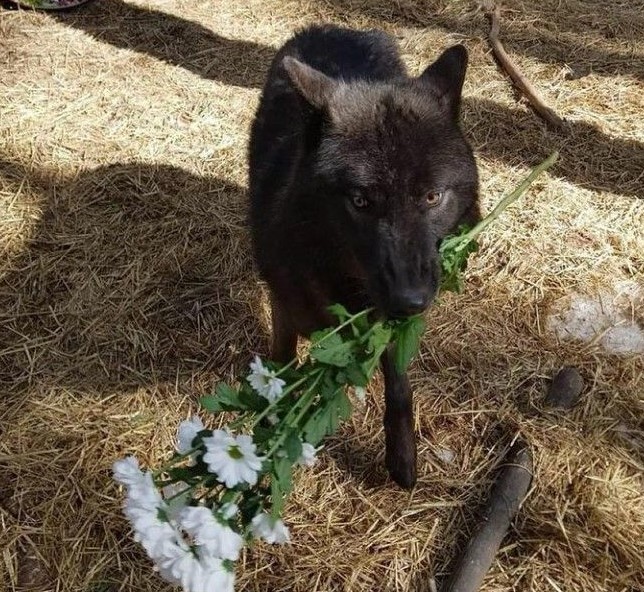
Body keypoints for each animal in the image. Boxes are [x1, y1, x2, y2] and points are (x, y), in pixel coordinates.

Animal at [249, 24, 480, 490]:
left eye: (432, 197)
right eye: (360, 201)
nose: (412, 300)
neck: (346, 288)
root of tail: (335, 27)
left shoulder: (389, 327)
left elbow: (399, 382)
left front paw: (402, 456)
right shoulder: (283, 302)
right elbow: (280, 364)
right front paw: (273, 429)